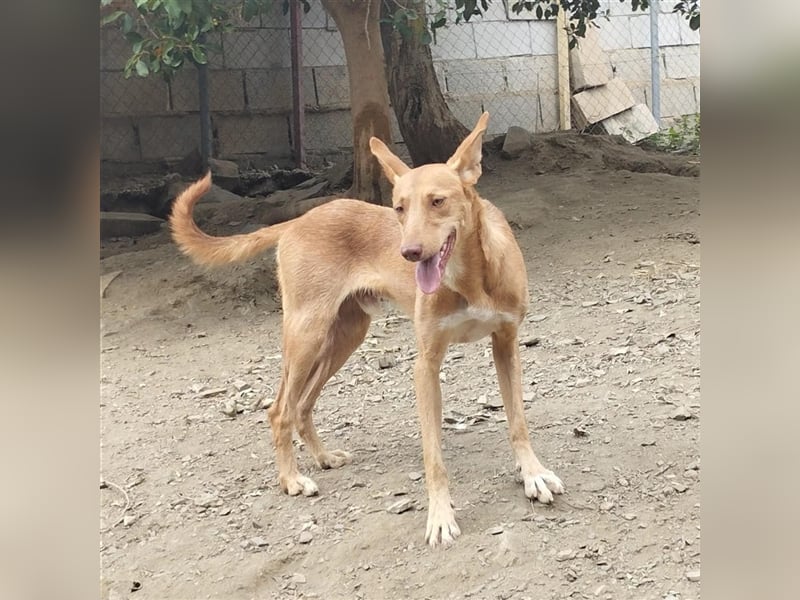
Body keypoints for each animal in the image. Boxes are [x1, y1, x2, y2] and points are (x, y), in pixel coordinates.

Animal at [170, 113, 564, 548]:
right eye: (399, 208)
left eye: (438, 201)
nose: (408, 253)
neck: (470, 278)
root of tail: (298, 220)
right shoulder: (426, 365)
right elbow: (434, 456)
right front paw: (440, 516)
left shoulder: (506, 344)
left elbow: (518, 423)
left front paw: (533, 475)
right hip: (306, 335)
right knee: (280, 410)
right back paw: (291, 479)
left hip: (345, 336)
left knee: (302, 405)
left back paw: (323, 457)